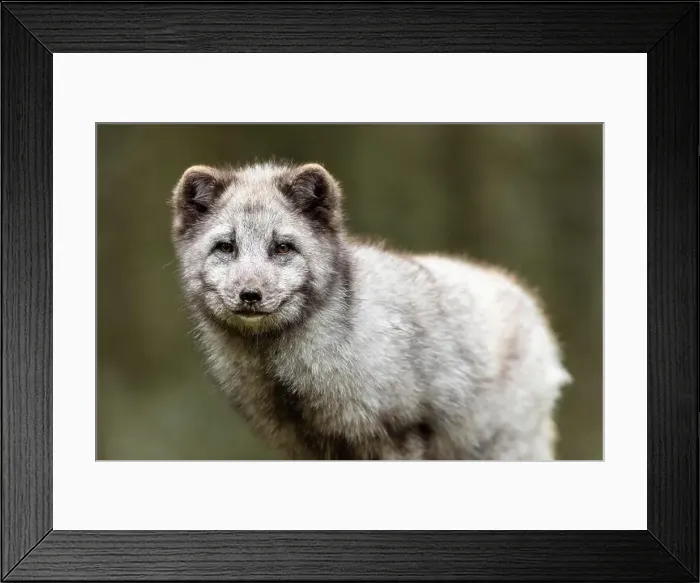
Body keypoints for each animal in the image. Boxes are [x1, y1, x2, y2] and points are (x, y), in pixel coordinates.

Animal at [170, 160, 572, 460]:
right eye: (226, 246)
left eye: (283, 247)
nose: (250, 294)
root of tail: (525, 296)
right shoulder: (306, 447)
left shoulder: (393, 435)